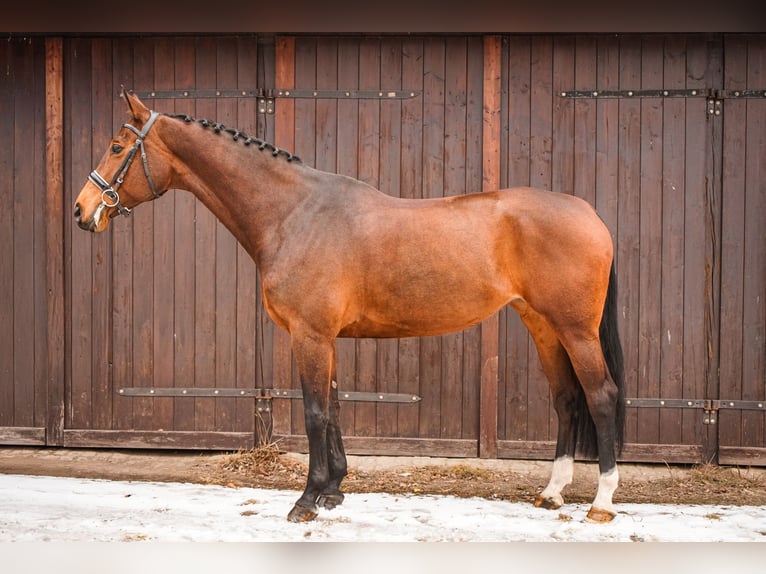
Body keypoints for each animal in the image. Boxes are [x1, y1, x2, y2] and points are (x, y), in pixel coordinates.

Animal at [74, 89, 625, 524]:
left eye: (117, 147)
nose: (82, 210)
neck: (295, 213)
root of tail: (590, 213)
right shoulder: (327, 338)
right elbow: (335, 408)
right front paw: (334, 490)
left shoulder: (310, 335)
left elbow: (316, 412)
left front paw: (306, 500)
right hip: (543, 326)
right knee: (566, 399)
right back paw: (552, 493)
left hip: (576, 330)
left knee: (600, 396)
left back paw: (601, 503)